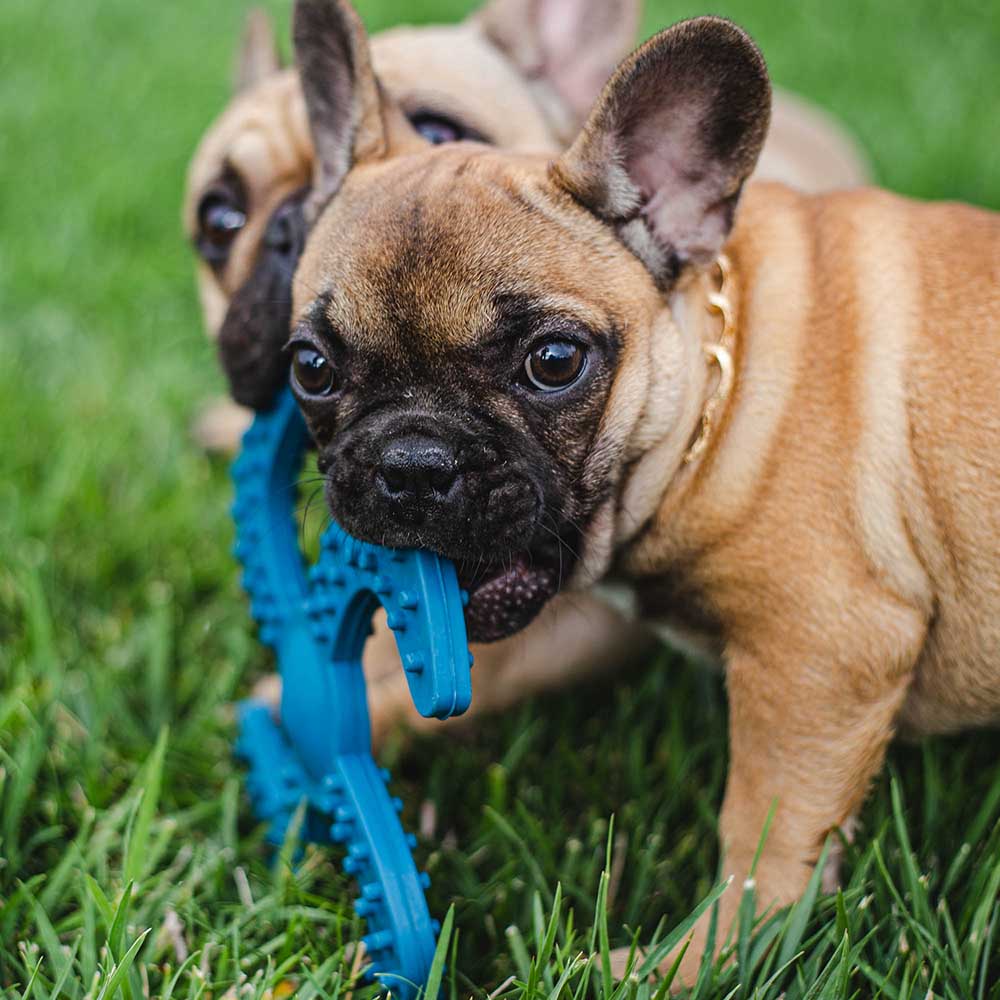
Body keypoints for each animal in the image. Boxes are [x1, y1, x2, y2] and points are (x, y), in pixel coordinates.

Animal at [286, 0, 996, 984]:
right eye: (311, 368)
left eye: (553, 362)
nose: (412, 462)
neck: (723, 381)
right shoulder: (589, 618)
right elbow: (496, 667)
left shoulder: (820, 656)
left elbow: (766, 839)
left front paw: (699, 963)